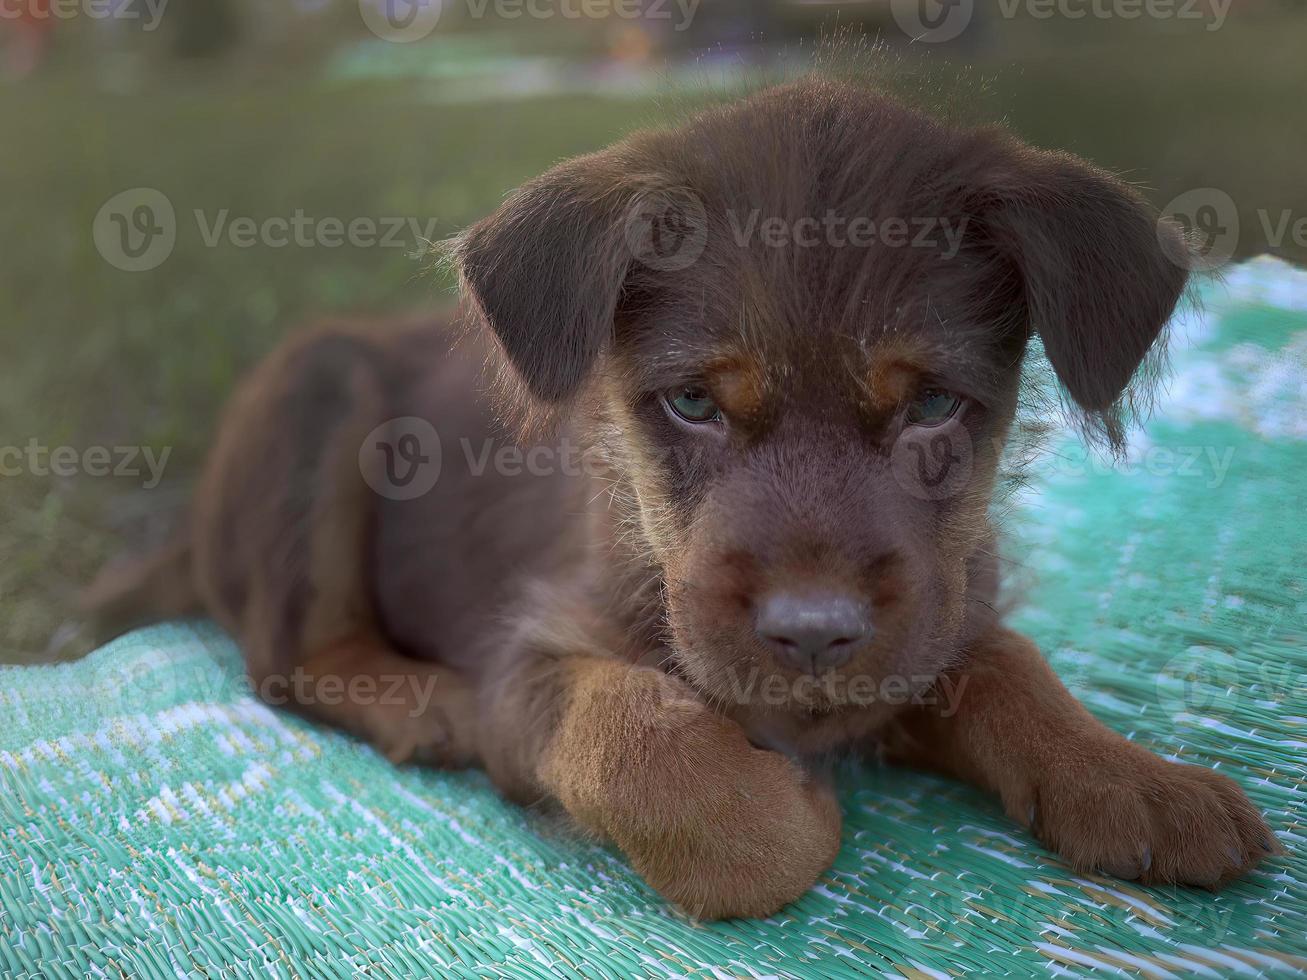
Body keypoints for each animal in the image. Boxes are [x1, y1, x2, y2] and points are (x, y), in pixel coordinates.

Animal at [89, 76, 1275, 919]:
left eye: (935, 404)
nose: (813, 634)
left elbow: (1007, 663)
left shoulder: (935, 619)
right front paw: (781, 809)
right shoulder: (527, 653)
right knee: (286, 657)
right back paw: (420, 702)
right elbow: (641, 739)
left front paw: (1129, 775)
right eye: (694, 403)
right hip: (316, 388)